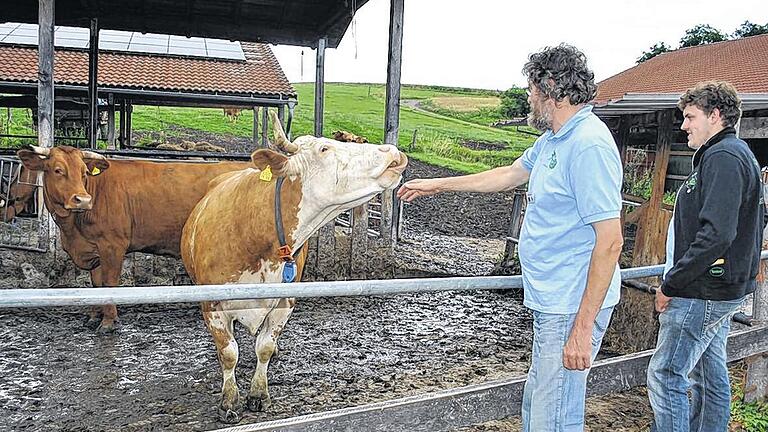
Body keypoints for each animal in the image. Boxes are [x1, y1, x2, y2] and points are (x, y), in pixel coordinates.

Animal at [16, 147, 248, 332]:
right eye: (57, 170)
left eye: (84, 173)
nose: (82, 200)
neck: (73, 231)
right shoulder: (94, 250)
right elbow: (95, 284)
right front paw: (93, 317)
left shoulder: (112, 245)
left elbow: (109, 283)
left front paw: (109, 322)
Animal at [181, 112, 408, 426]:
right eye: (324, 149)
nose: (393, 152)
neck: (255, 230)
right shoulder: (212, 305)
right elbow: (229, 353)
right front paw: (229, 400)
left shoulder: (284, 302)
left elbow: (263, 347)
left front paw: (258, 393)